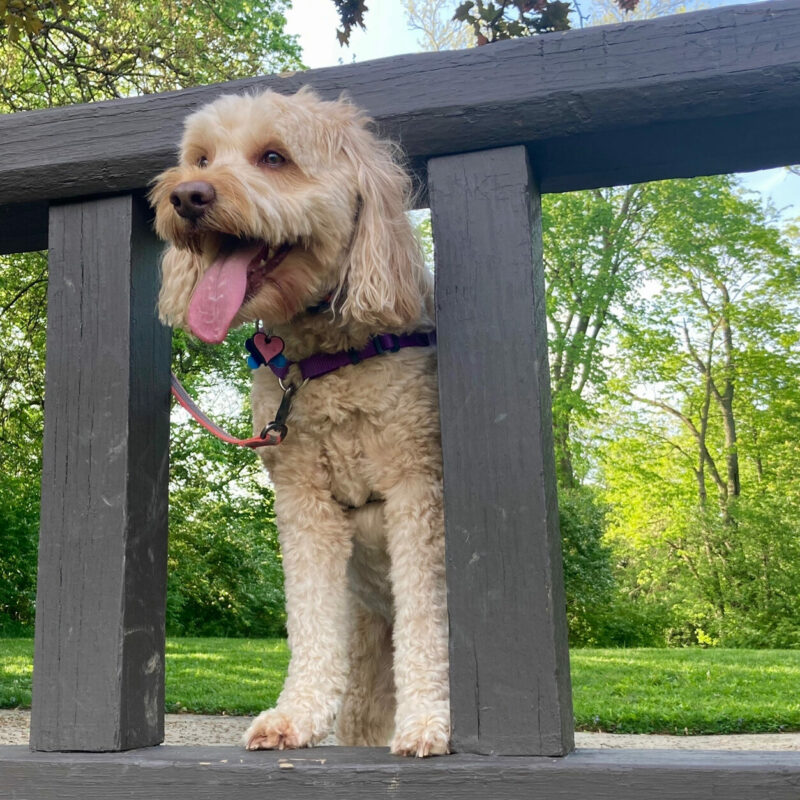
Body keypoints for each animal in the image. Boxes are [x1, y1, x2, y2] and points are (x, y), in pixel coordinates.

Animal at [150, 87, 450, 756]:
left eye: (273, 157)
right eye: (201, 158)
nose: (188, 196)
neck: (325, 361)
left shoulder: (418, 490)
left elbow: (427, 620)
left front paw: (427, 722)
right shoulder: (304, 500)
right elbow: (311, 616)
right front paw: (296, 716)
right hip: (366, 646)